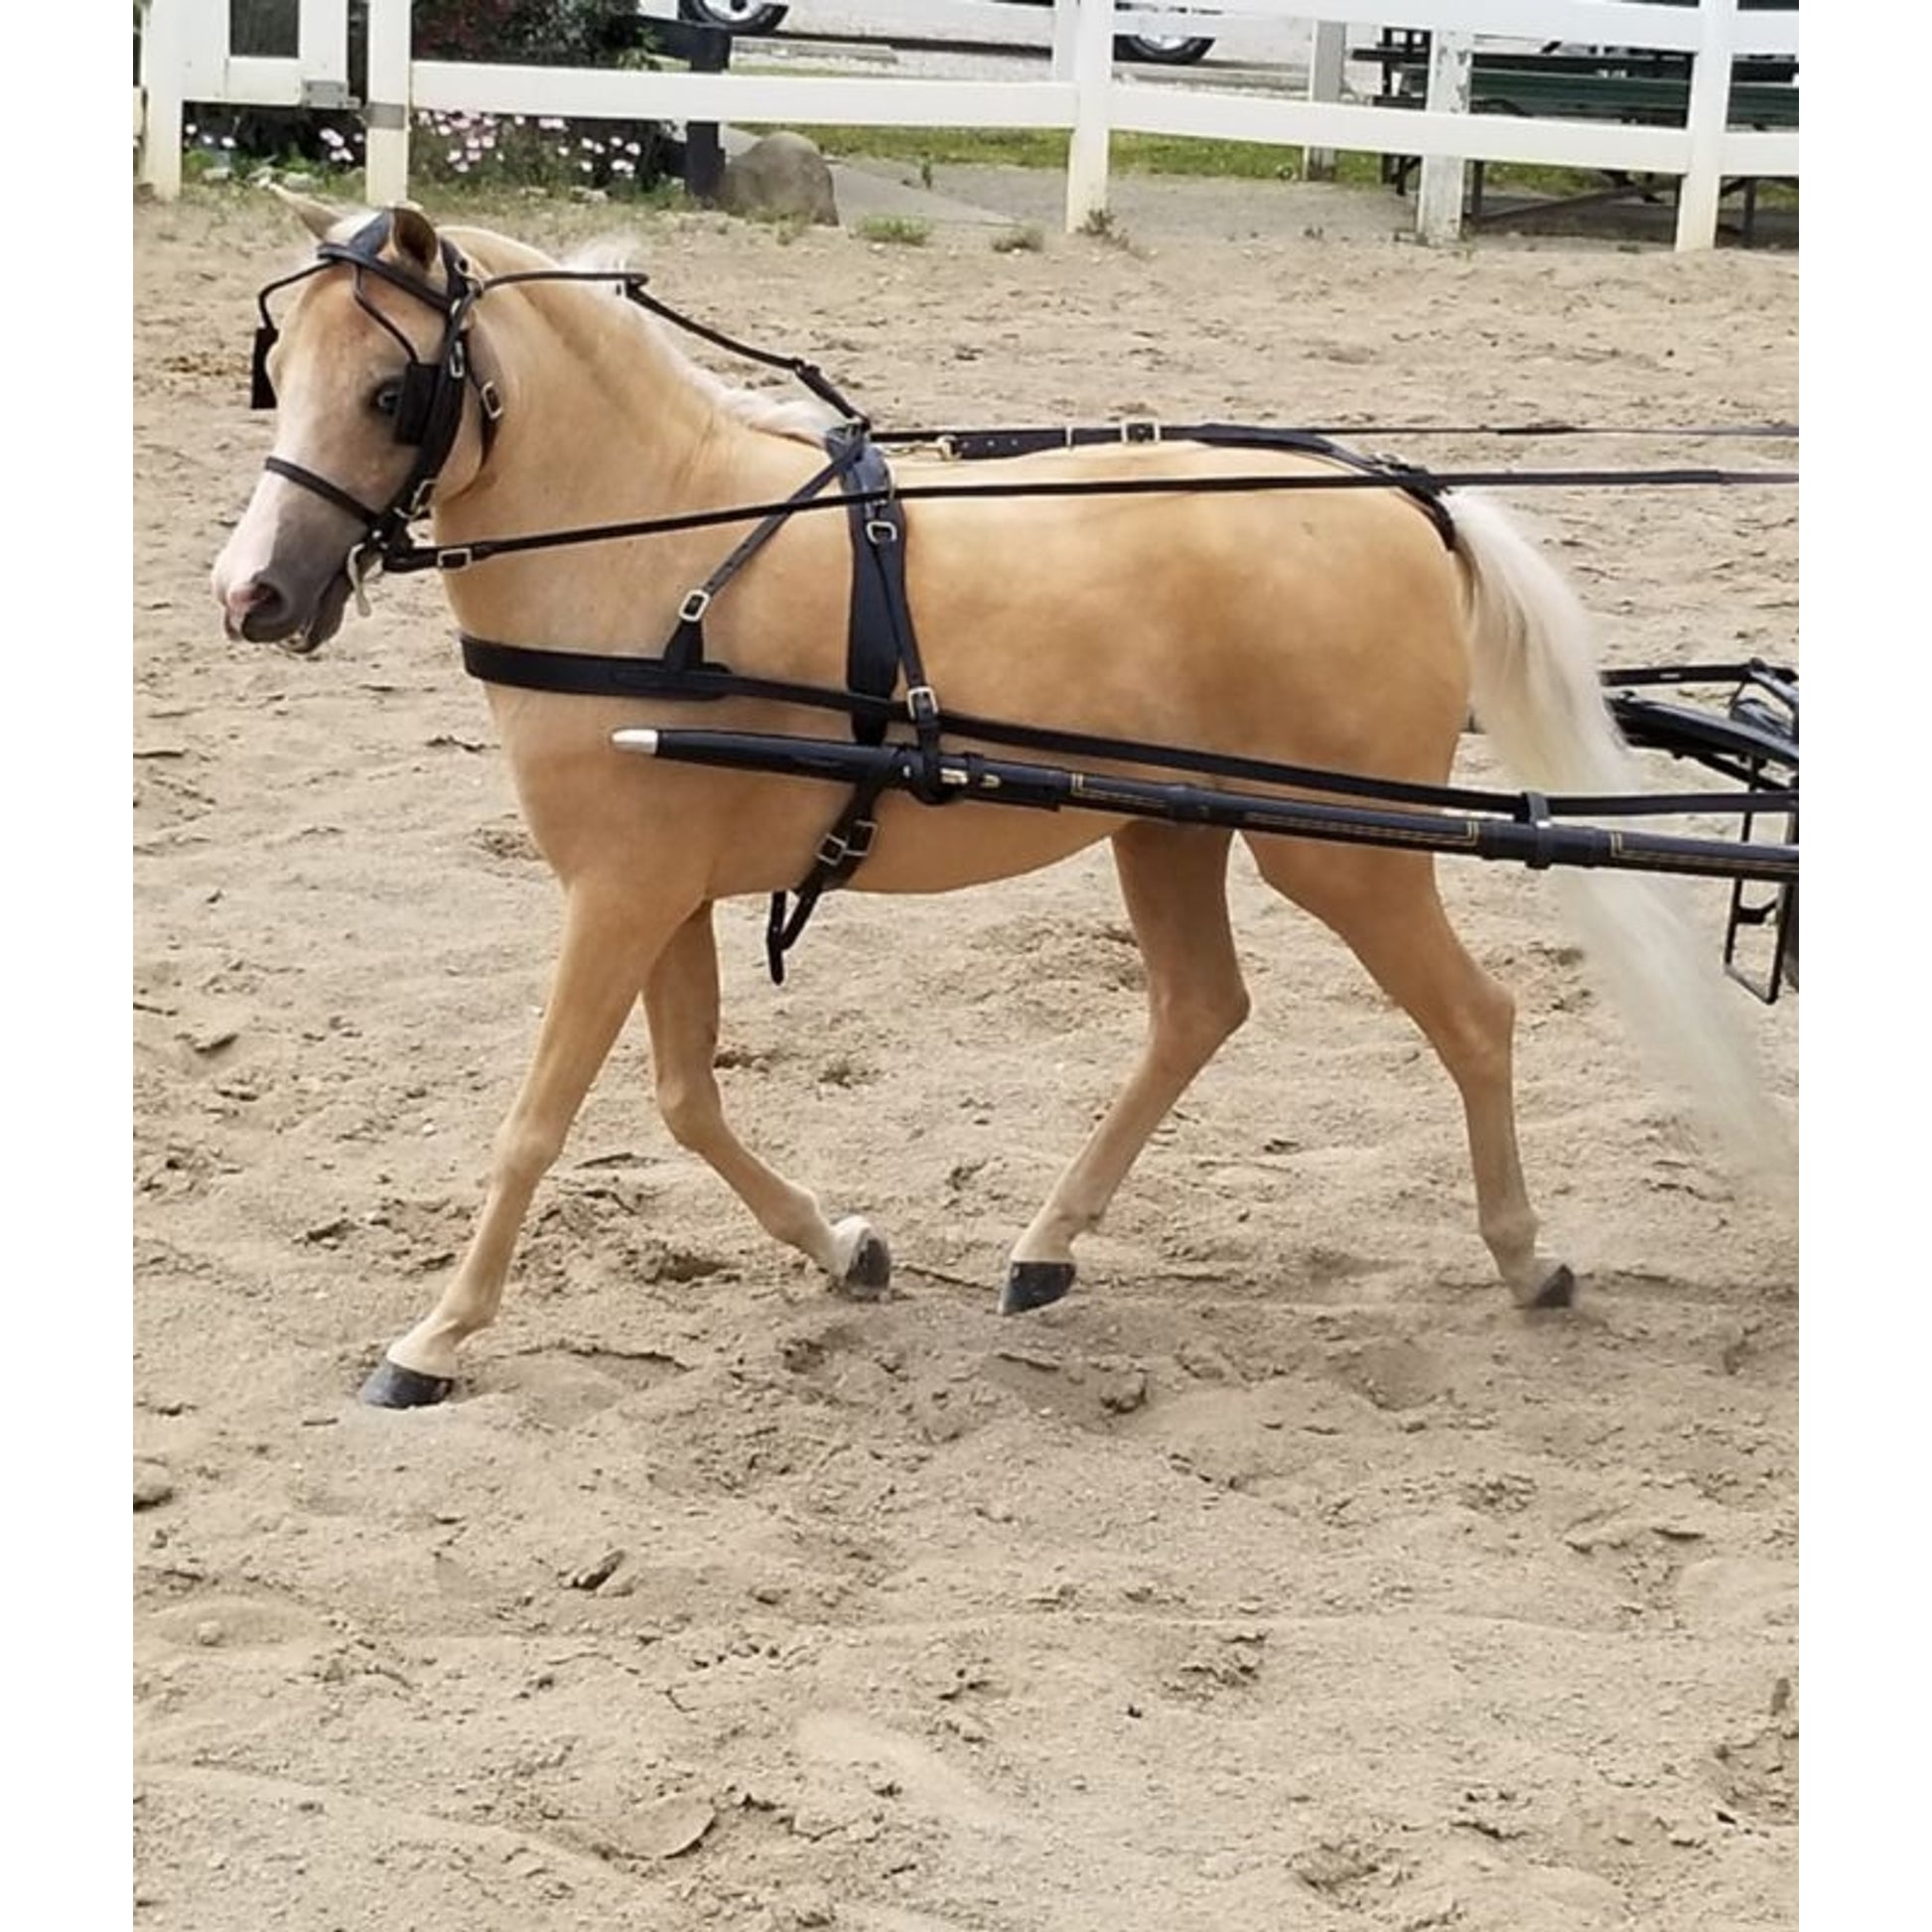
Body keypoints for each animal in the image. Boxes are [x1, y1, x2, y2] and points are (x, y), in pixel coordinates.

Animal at [211, 197, 1773, 1409]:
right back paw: (1045, 1245)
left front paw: (431, 1338)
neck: (660, 554)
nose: (253, 594)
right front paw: (843, 1245)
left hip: (1337, 854)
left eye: (390, 393)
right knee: (1199, 1010)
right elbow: (684, 1099)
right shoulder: (659, 893)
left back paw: (1524, 1256)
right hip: (1169, 827)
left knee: (1473, 1019)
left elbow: (537, 1119)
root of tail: (1399, 495)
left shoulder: (617, 897)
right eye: (279, 368)